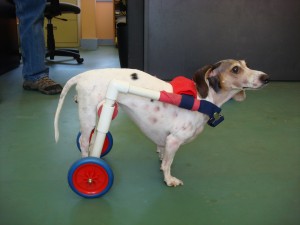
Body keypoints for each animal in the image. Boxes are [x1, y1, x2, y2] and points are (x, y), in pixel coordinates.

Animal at [54, 59, 270, 186]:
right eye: (236, 69)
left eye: (246, 64)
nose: (266, 77)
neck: (204, 99)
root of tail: (84, 75)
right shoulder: (174, 140)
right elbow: (168, 163)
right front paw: (169, 179)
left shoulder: (165, 140)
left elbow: (162, 154)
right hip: (89, 116)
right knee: (84, 142)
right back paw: (87, 162)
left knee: (91, 139)